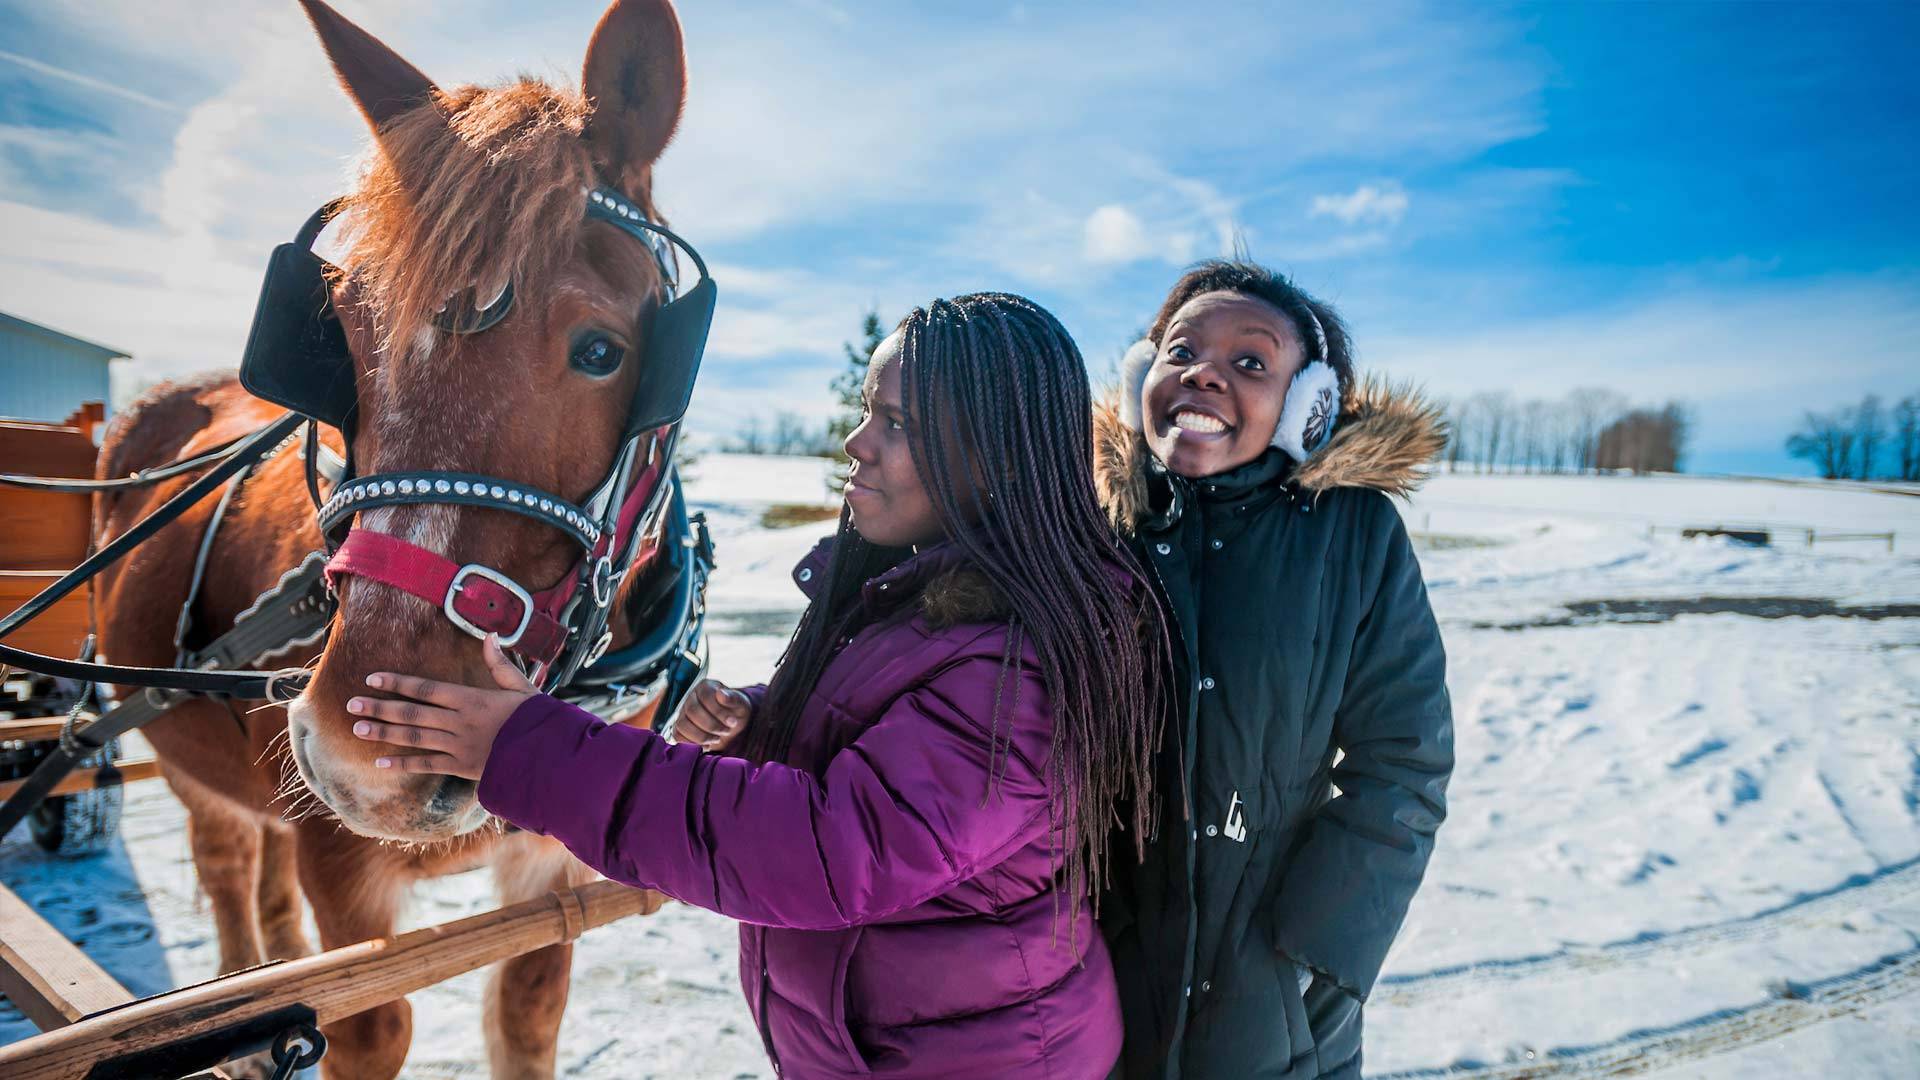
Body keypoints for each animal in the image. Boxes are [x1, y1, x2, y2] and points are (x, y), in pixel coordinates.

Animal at [91, 4, 691, 1068]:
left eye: (602, 351)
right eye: (345, 342)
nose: (366, 754)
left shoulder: (550, 873)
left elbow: (529, 1011)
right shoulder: (344, 876)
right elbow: (366, 1025)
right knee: (227, 865)